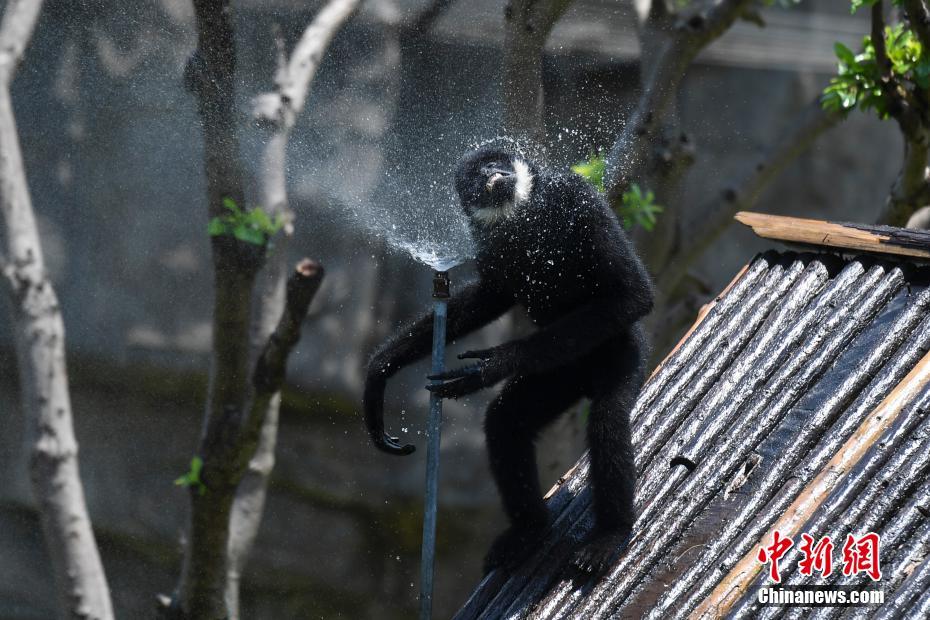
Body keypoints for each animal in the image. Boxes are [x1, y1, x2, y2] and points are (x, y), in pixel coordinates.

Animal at [362, 147, 652, 576]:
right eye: (478, 172)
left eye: (496, 162)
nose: (491, 174)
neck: (525, 215)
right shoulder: (487, 238)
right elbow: (493, 294)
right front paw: (381, 369)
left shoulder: (579, 198)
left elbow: (633, 295)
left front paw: (495, 364)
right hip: (559, 373)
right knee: (505, 421)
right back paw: (531, 529)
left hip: (623, 350)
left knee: (608, 417)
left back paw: (610, 534)